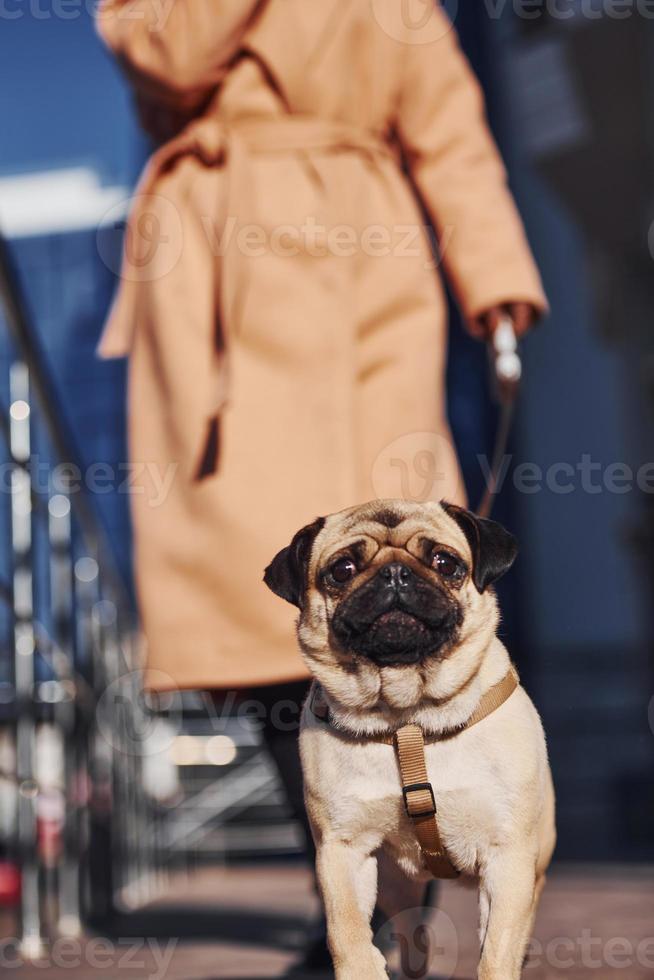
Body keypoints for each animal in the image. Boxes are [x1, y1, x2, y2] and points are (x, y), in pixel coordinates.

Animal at [264, 502, 556, 976]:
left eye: (445, 563)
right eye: (342, 570)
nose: (395, 573)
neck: (409, 719)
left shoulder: (508, 856)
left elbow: (497, 949)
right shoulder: (342, 852)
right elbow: (348, 934)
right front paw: (363, 967)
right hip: (397, 887)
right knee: (410, 936)